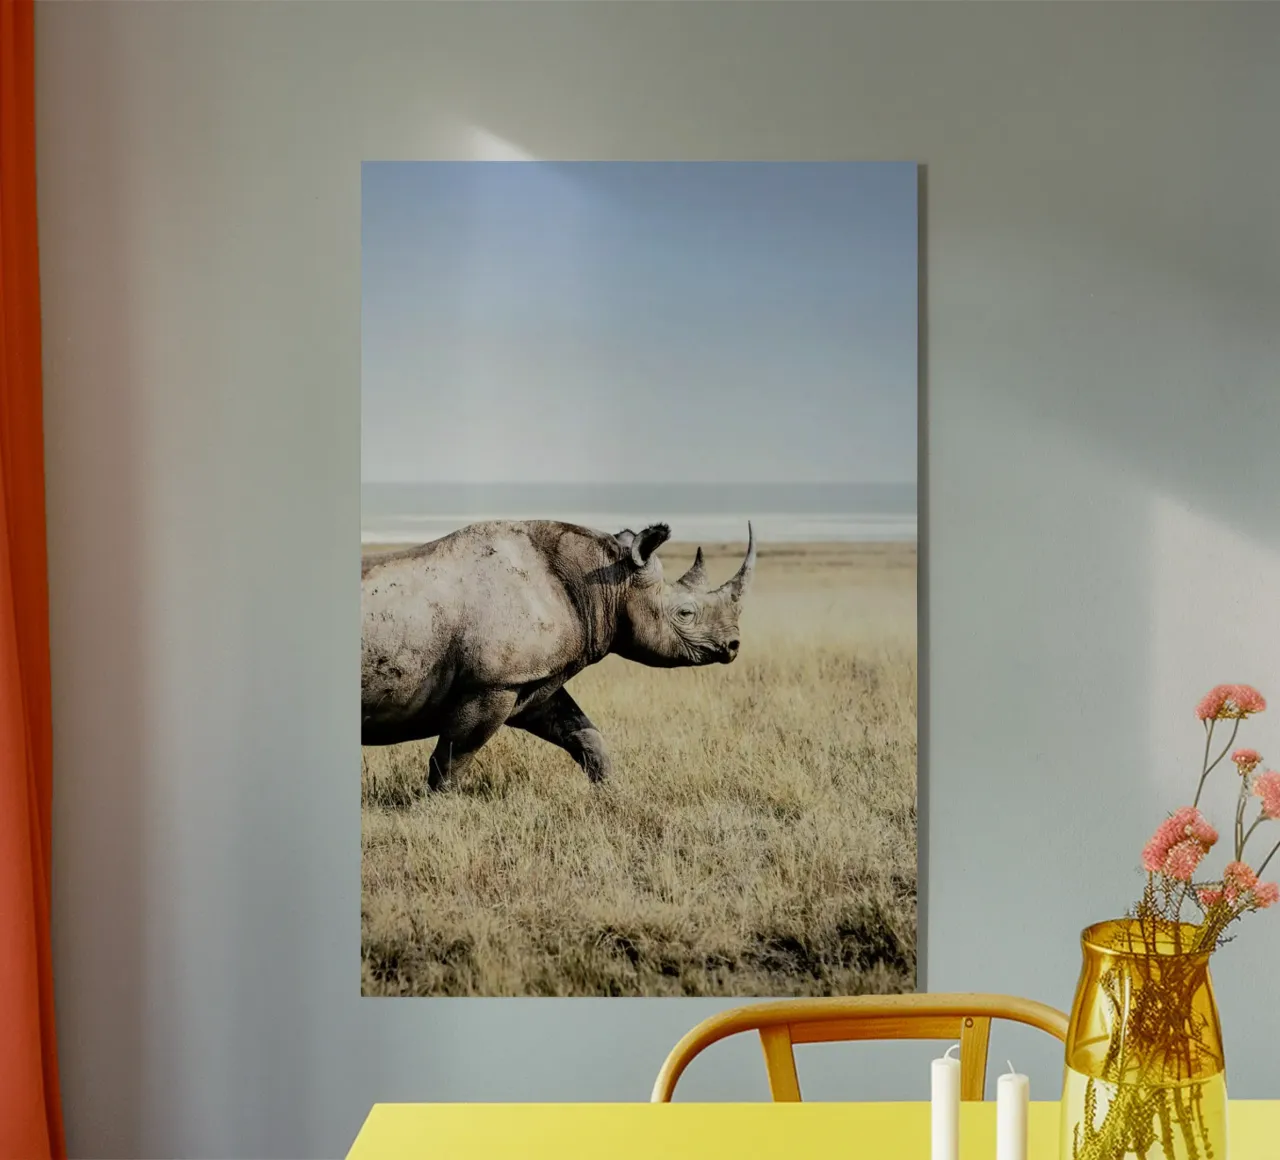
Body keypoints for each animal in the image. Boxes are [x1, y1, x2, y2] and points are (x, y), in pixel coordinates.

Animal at [361, 519, 755, 790]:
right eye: (685, 613)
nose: (734, 646)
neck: (605, 583)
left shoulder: (532, 680)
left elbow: (583, 733)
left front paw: (611, 794)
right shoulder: (492, 683)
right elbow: (454, 757)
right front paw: (437, 809)